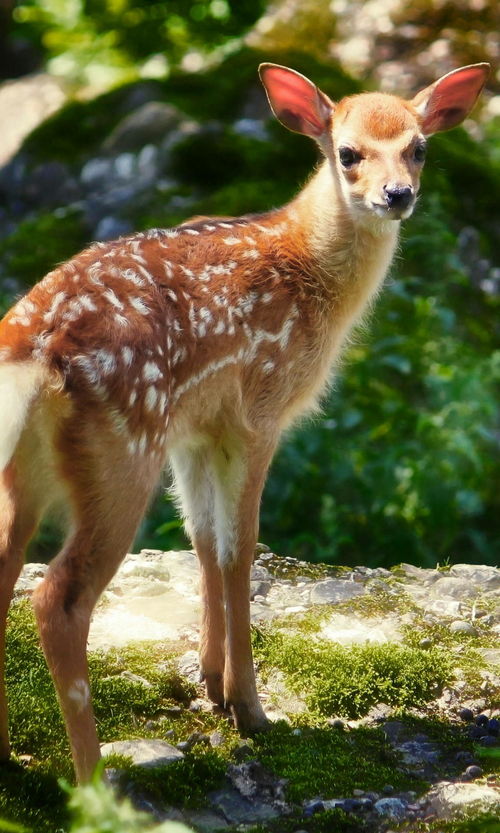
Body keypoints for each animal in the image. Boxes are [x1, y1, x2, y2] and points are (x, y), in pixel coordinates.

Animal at [0, 61, 489, 782]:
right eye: (348, 153)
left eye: (419, 147)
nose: (397, 195)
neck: (307, 267)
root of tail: (34, 345)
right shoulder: (259, 412)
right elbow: (241, 549)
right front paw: (250, 707)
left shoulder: (196, 430)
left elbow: (204, 539)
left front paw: (209, 680)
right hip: (122, 448)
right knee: (58, 599)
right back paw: (93, 780)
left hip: (32, 464)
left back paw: (8, 751)